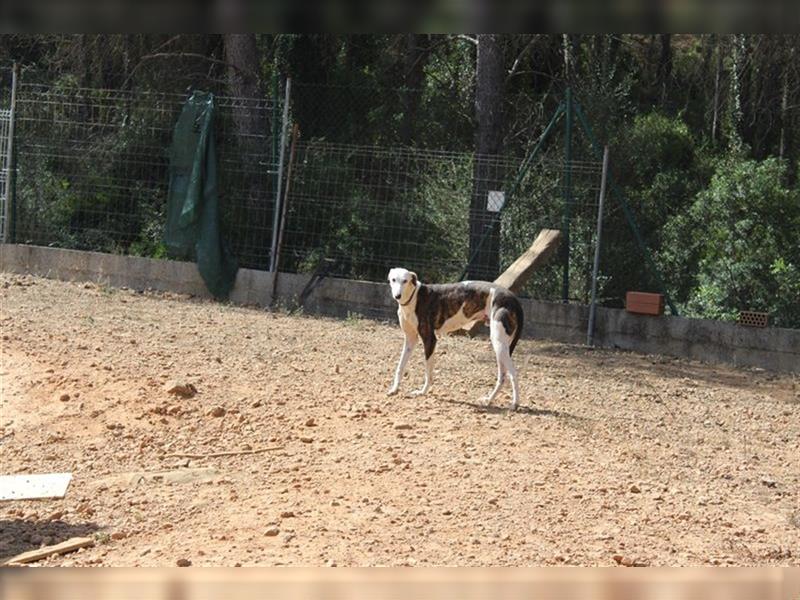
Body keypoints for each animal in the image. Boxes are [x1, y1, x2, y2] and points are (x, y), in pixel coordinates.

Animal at [388, 268, 524, 408]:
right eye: (393, 279)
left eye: (405, 281)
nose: (397, 296)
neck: (414, 297)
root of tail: (513, 299)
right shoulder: (410, 340)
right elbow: (400, 366)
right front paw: (394, 389)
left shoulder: (430, 340)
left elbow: (428, 372)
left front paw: (422, 391)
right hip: (501, 346)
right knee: (503, 375)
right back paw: (489, 400)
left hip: (499, 343)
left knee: (513, 373)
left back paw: (515, 403)